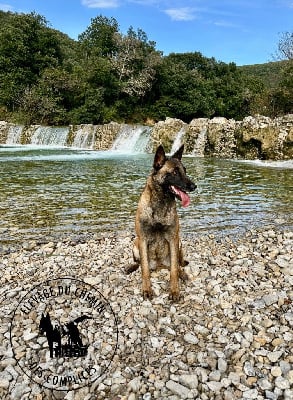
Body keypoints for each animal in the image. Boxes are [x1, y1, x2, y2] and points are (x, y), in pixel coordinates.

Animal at [126, 144, 195, 300]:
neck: (160, 203)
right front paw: (146, 289)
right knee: (138, 263)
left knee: (177, 264)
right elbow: (144, 269)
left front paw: (174, 290)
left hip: (178, 242)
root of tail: (159, 265)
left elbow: (174, 269)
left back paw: (183, 273)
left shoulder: (173, 237)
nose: (194, 186)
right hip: (136, 244)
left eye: (185, 171)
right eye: (174, 172)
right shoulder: (143, 239)